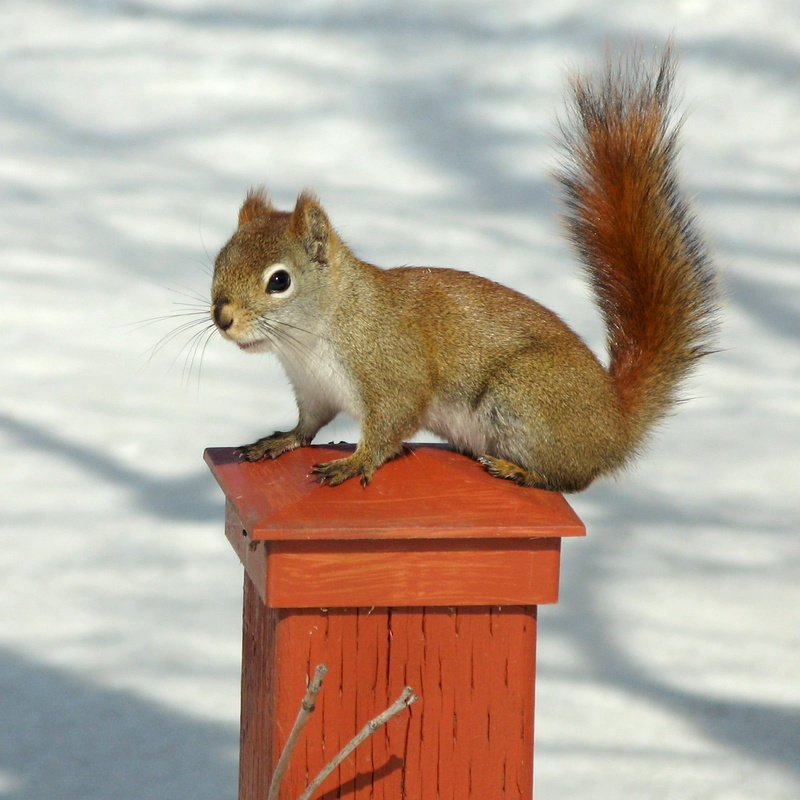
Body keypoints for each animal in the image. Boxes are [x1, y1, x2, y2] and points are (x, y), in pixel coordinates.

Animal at [209, 45, 718, 493]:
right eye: (218, 262)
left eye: (279, 281)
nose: (222, 317)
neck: (309, 340)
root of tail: (616, 424)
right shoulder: (314, 390)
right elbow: (307, 426)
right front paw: (279, 440)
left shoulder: (394, 372)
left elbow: (390, 425)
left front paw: (354, 462)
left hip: (526, 397)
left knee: (570, 479)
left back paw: (518, 471)